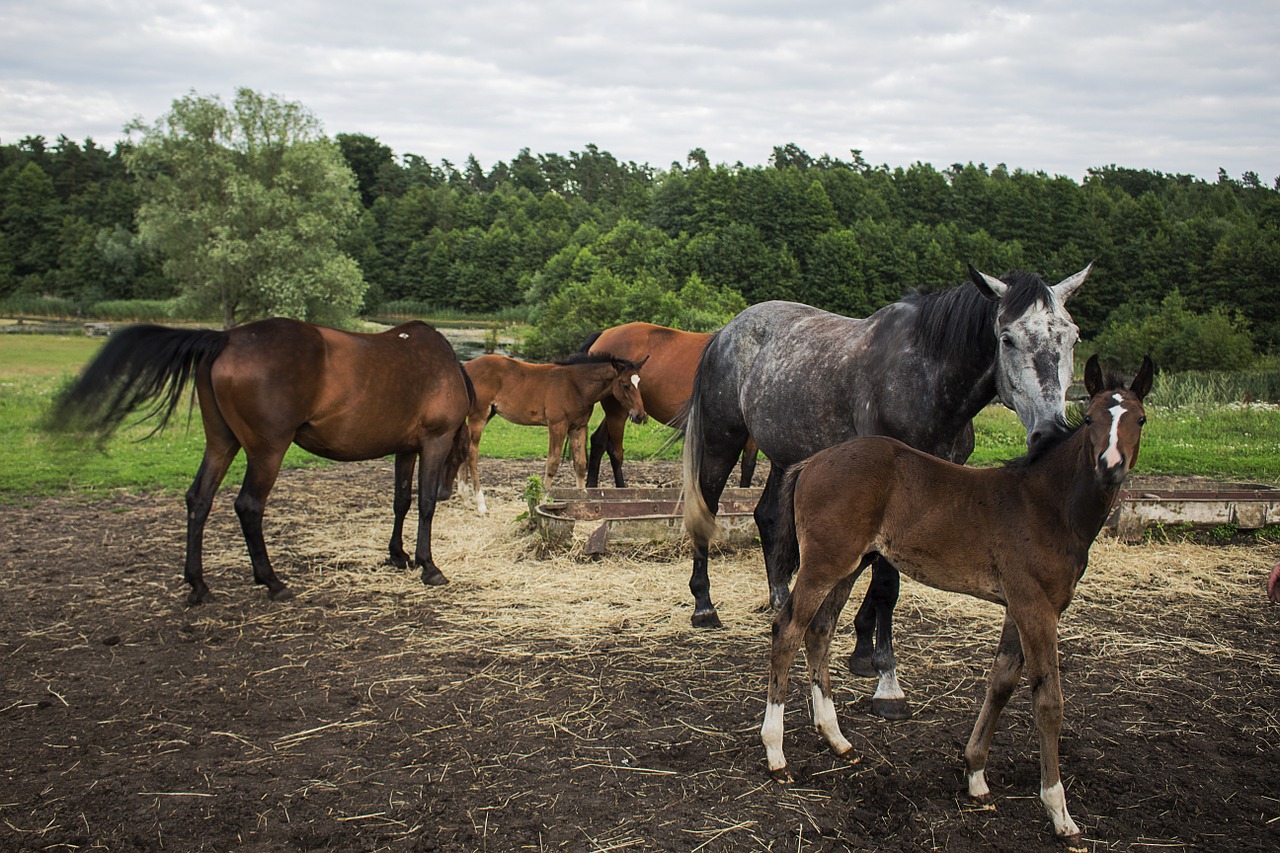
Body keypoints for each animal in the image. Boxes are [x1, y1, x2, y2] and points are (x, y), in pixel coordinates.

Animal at [49, 315, 478, 601]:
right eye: (461, 453)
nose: (450, 491)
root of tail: (225, 338)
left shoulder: (405, 448)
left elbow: (401, 501)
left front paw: (398, 555)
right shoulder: (433, 442)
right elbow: (423, 504)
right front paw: (428, 565)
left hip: (221, 443)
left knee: (199, 499)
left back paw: (199, 584)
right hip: (267, 450)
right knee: (248, 506)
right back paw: (271, 581)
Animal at [463, 350, 650, 512]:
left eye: (639, 383)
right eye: (625, 385)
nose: (640, 415)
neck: (576, 386)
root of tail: (465, 367)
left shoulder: (578, 427)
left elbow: (580, 464)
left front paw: (582, 501)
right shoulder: (557, 425)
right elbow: (552, 463)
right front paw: (544, 500)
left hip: (486, 414)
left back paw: (464, 497)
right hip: (478, 416)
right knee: (472, 453)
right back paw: (480, 505)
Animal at [680, 262, 1090, 712]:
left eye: (1072, 336)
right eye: (1007, 338)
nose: (1050, 431)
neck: (926, 378)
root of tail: (725, 332)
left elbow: (880, 575)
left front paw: (862, 652)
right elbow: (885, 585)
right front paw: (887, 681)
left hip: (786, 455)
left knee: (768, 517)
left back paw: (779, 600)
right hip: (721, 442)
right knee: (706, 511)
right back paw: (704, 607)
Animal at [762, 350, 1157, 845]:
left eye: (1140, 418)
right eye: (1090, 418)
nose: (1110, 465)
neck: (1048, 506)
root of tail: (811, 462)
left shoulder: (1018, 607)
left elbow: (1002, 682)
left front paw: (976, 778)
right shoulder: (1038, 609)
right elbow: (1049, 702)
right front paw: (1060, 815)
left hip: (850, 565)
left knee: (819, 631)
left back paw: (837, 740)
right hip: (825, 563)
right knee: (787, 630)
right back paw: (776, 755)